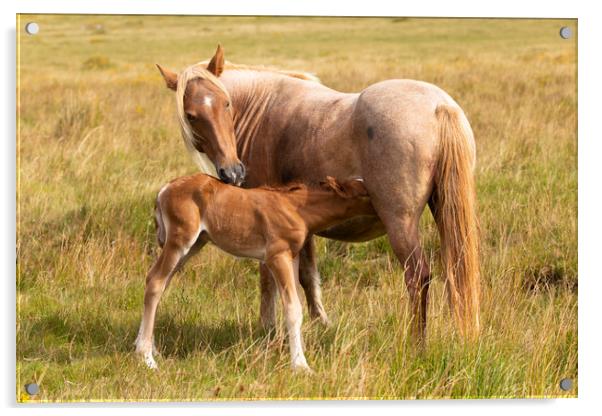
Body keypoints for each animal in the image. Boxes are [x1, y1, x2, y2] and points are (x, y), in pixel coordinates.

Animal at [134, 173, 372, 370]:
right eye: (364, 192)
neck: (297, 208)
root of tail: (164, 189)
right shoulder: (277, 256)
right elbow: (292, 308)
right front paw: (300, 365)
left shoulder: (292, 257)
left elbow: (297, 301)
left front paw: (299, 352)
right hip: (180, 240)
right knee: (155, 282)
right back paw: (146, 357)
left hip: (194, 244)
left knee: (157, 281)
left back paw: (149, 347)